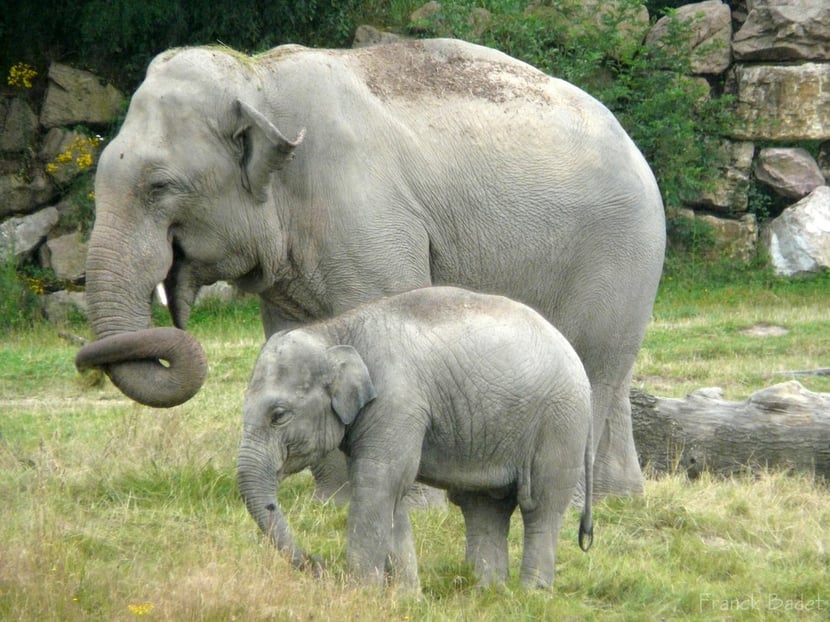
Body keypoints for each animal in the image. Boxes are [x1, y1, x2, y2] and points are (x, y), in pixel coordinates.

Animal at [75, 37, 665, 498]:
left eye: (159, 187)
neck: (258, 78)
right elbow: (294, 339)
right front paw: (332, 503)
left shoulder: (369, 219)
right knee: (612, 370)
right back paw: (620, 498)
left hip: (619, 251)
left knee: (593, 364)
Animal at [238, 286, 594, 589]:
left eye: (278, 415)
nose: (319, 563)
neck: (335, 330)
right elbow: (392, 491)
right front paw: (406, 597)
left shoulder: (397, 402)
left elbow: (379, 482)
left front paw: (360, 594)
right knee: (483, 505)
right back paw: (488, 591)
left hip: (560, 423)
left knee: (541, 505)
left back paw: (532, 593)